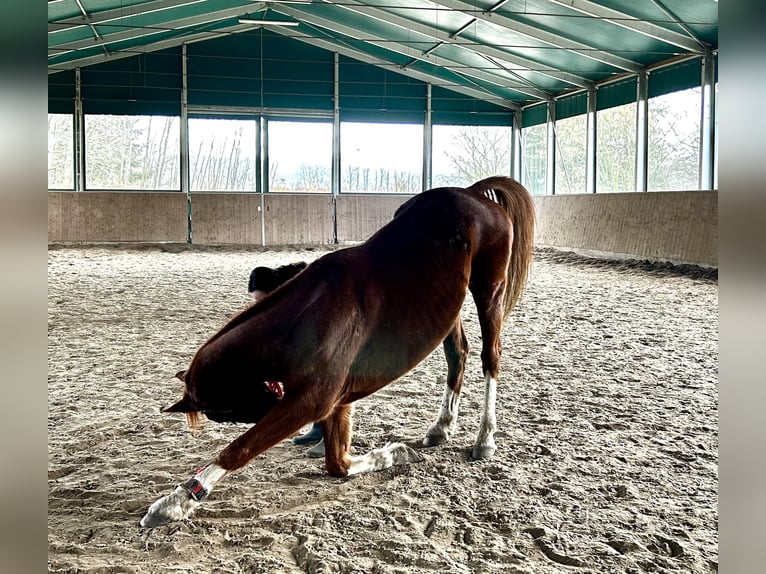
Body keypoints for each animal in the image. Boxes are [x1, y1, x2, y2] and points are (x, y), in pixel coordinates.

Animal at [141, 178, 536, 528]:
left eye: (224, 412)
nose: (274, 395)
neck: (309, 314)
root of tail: (473, 194)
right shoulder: (337, 398)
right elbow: (338, 464)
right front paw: (391, 453)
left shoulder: (312, 400)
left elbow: (240, 449)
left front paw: (174, 503)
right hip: (448, 308)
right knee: (458, 354)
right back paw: (441, 427)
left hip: (490, 288)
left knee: (490, 357)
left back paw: (485, 439)